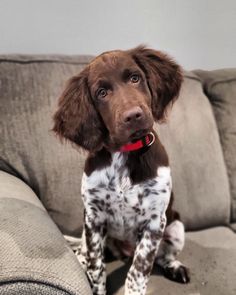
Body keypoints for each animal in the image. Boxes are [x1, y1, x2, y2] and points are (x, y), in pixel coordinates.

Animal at [53, 46, 190, 295]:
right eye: (101, 93)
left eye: (135, 78)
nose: (133, 115)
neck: (124, 154)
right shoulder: (94, 217)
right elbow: (96, 268)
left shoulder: (155, 221)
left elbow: (138, 272)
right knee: (85, 251)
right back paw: (80, 258)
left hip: (176, 226)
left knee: (164, 256)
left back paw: (175, 266)